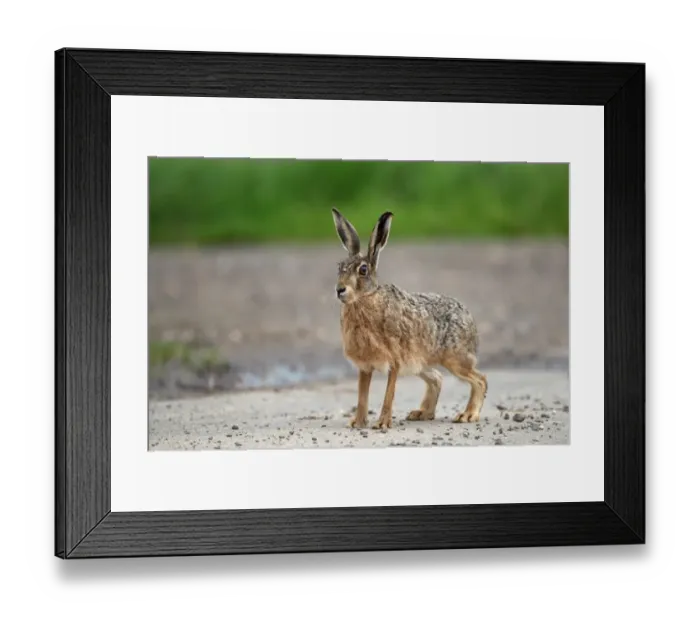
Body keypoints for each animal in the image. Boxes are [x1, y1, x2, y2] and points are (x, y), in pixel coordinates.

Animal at [331, 207, 488, 430]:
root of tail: (471, 321)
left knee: (480, 379)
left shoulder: (395, 361)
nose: (340, 290)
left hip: (455, 360)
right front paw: (357, 423)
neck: (366, 299)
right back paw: (422, 413)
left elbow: (389, 394)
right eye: (340, 267)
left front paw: (382, 424)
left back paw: (467, 415)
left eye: (363, 270)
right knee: (437, 378)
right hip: (420, 363)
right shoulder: (365, 366)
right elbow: (362, 395)